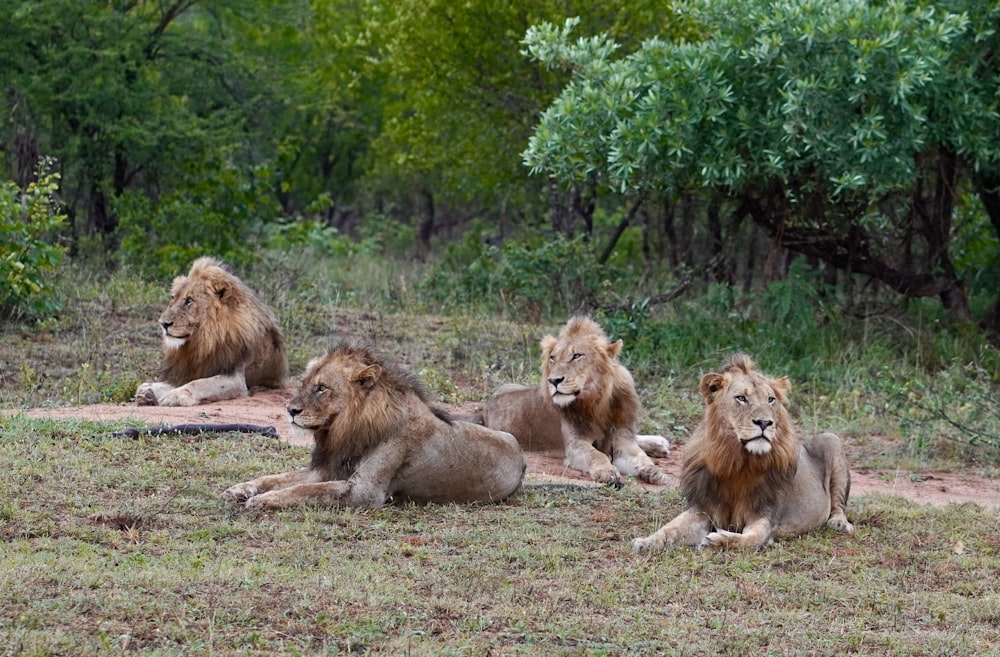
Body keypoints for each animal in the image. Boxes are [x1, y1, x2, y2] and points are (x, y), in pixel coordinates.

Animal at [135, 256, 288, 404]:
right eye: (173, 298)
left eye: (189, 301)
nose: (163, 324)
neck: (203, 341)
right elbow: (178, 382)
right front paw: (149, 390)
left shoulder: (236, 378)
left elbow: (199, 383)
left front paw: (176, 395)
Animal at [224, 336, 528, 510]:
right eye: (306, 383)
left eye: (322, 388)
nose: (290, 410)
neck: (346, 431)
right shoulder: (327, 469)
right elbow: (278, 478)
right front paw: (239, 489)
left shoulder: (365, 492)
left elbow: (306, 490)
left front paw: (262, 501)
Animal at [482, 318, 668, 486]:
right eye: (552, 358)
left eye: (577, 356)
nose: (554, 381)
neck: (598, 402)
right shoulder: (575, 445)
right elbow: (597, 454)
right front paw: (607, 471)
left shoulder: (623, 440)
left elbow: (640, 456)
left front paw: (654, 471)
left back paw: (660, 444)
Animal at [632, 352, 852, 552]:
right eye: (741, 398)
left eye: (770, 399)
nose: (764, 422)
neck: (738, 461)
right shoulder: (702, 508)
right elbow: (670, 527)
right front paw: (646, 541)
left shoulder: (766, 519)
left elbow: (748, 539)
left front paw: (716, 541)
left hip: (831, 440)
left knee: (838, 505)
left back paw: (839, 523)